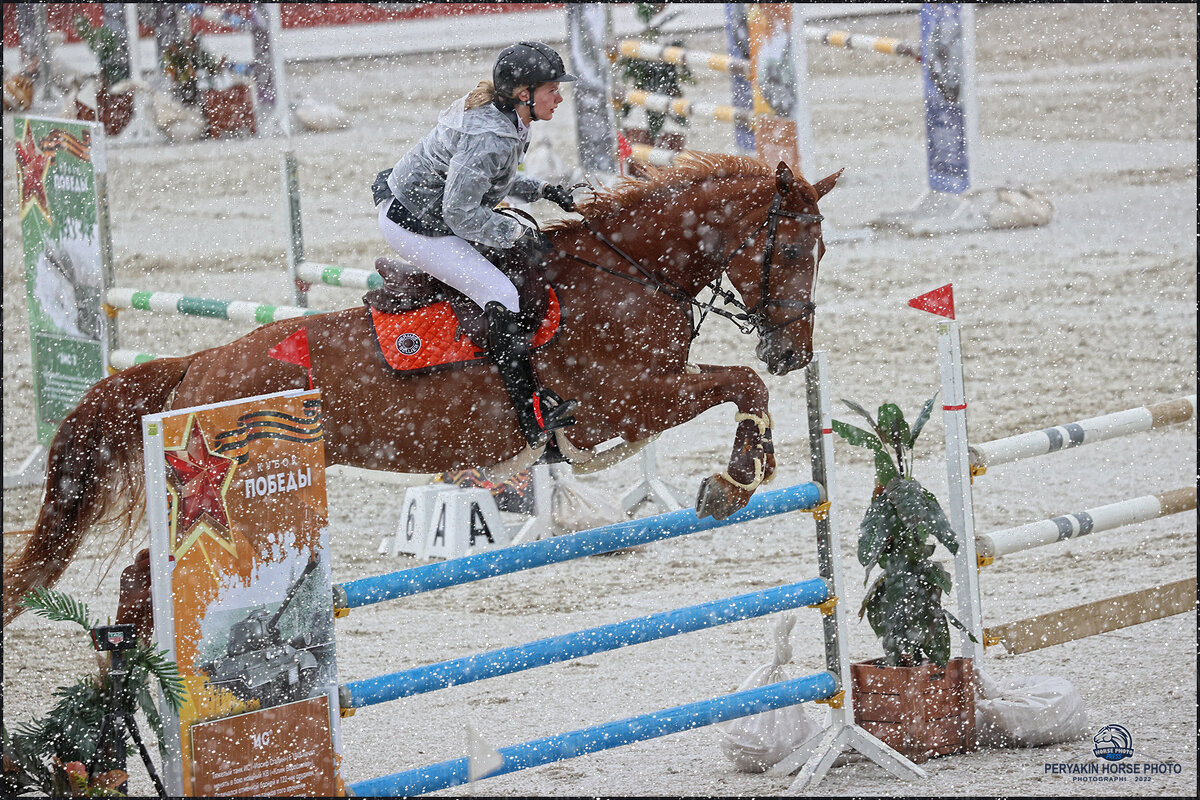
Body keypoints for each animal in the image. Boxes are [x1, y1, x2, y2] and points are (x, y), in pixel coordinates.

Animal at [4, 149, 840, 623]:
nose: (794, 351)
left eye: (823, 251)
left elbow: (741, 387)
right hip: (230, 502)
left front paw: (741, 473)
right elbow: (741, 385)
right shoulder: (623, 402)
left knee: (147, 579)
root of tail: (196, 367)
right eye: (797, 248)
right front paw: (733, 482)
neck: (629, 271)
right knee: (147, 578)